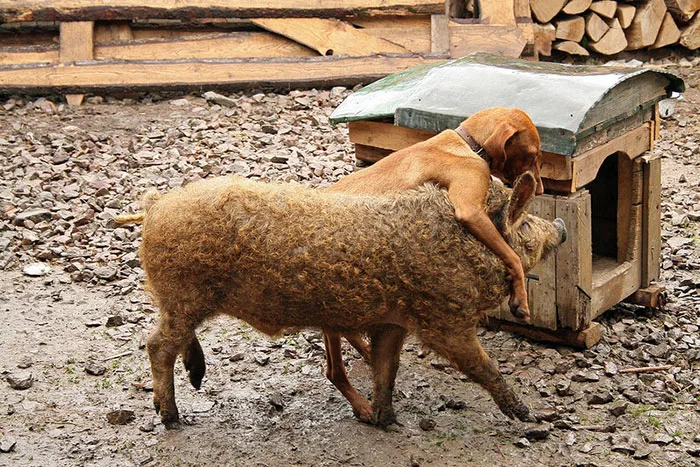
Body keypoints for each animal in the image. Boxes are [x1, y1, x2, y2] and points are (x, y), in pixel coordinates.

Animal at [115, 172, 566, 428]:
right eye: (526, 223)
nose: (559, 225)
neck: (466, 246)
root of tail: (155, 205)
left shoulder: (392, 321)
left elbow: (387, 368)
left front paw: (385, 420)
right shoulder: (444, 319)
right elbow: (482, 366)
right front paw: (531, 416)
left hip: (179, 299)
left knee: (171, 338)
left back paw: (191, 382)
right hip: (186, 295)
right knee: (156, 345)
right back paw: (171, 418)